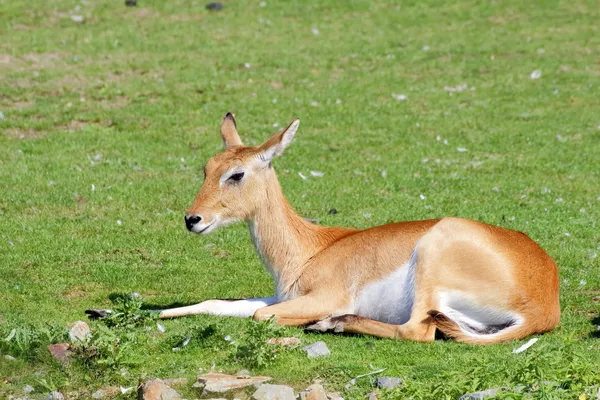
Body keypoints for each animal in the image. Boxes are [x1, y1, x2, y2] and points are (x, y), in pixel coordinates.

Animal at [99, 113, 564, 344]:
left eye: (236, 173)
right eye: (207, 167)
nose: (193, 219)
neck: (309, 248)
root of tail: (545, 301)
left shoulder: (319, 296)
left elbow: (260, 315)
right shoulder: (283, 295)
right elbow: (216, 303)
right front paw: (108, 312)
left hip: (433, 257)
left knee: (420, 330)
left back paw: (331, 324)